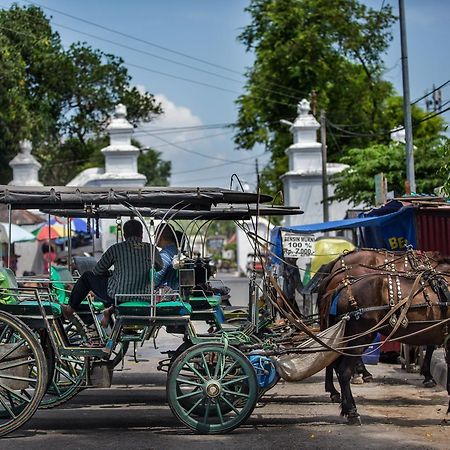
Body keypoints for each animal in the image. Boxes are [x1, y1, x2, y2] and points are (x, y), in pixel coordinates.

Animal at [316, 255, 450, 424]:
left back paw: (341, 400)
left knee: (334, 362)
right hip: (361, 335)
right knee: (344, 370)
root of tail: (341, 287)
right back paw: (352, 410)